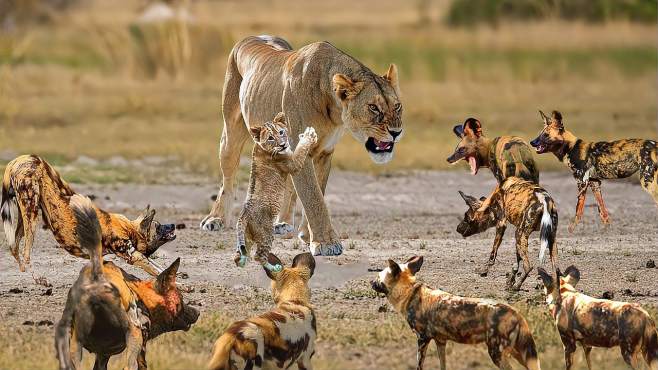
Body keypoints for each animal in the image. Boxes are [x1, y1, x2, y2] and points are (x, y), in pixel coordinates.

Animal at [0, 154, 176, 284]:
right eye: (157, 226)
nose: (174, 224)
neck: (129, 229)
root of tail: (18, 160)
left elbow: (160, 268)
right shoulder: (132, 256)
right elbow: (157, 270)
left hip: (25, 215)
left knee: (14, 247)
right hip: (31, 213)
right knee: (25, 253)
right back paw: (40, 280)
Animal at [368, 258, 540, 370]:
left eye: (378, 277)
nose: (370, 282)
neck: (409, 292)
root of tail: (516, 313)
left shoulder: (422, 339)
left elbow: (419, 365)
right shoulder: (440, 342)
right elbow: (442, 365)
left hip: (497, 353)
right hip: (521, 354)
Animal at [528, 110, 656, 231]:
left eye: (546, 135)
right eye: (540, 134)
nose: (531, 142)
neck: (571, 148)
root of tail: (655, 144)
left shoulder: (582, 183)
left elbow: (578, 211)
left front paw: (572, 230)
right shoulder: (595, 183)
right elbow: (602, 211)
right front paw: (608, 230)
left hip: (647, 181)